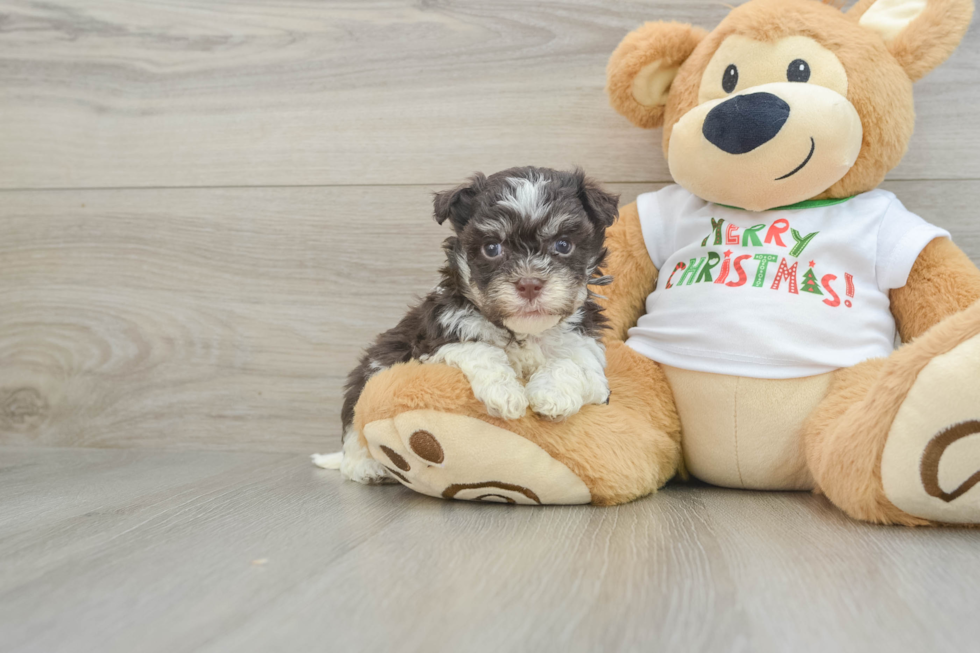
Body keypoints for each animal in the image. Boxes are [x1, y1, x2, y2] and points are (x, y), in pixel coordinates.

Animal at [316, 167, 620, 484]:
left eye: (563, 245)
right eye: (491, 248)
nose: (529, 284)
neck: (523, 331)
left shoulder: (587, 352)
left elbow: (573, 364)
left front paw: (552, 395)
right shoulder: (436, 339)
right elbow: (480, 350)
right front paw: (505, 393)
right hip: (368, 377)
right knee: (354, 431)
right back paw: (367, 467)